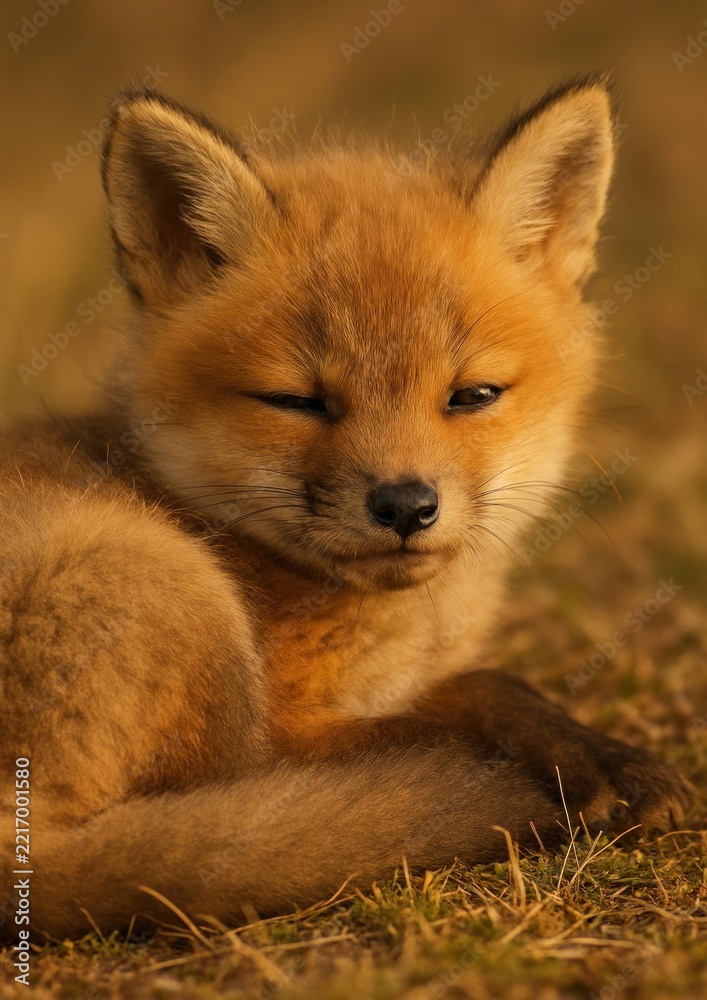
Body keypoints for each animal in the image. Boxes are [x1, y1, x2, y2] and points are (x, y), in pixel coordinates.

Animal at [0, 75, 690, 941]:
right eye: (297, 401)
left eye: (471, 396)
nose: (404, 505)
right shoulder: (293, 722)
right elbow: (468, 697)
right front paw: (584, 758)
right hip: (168, 585)